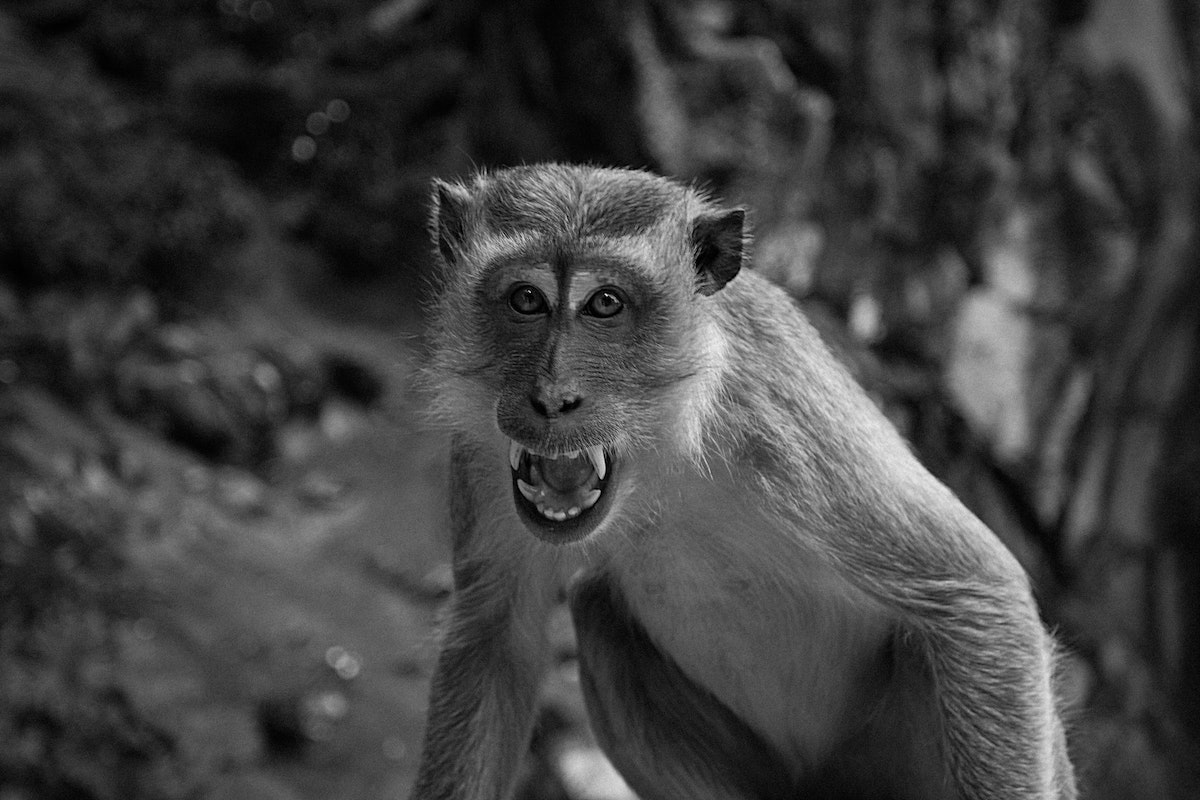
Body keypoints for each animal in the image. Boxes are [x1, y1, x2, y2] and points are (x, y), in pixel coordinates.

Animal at [413, 163, 1076, 800]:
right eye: (526, 298)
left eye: (605, 303)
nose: (552, 397)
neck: (666, 448)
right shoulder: (479, 449)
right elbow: (494, 636)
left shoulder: (781, 421)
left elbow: (976, 590)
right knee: (598, 611)